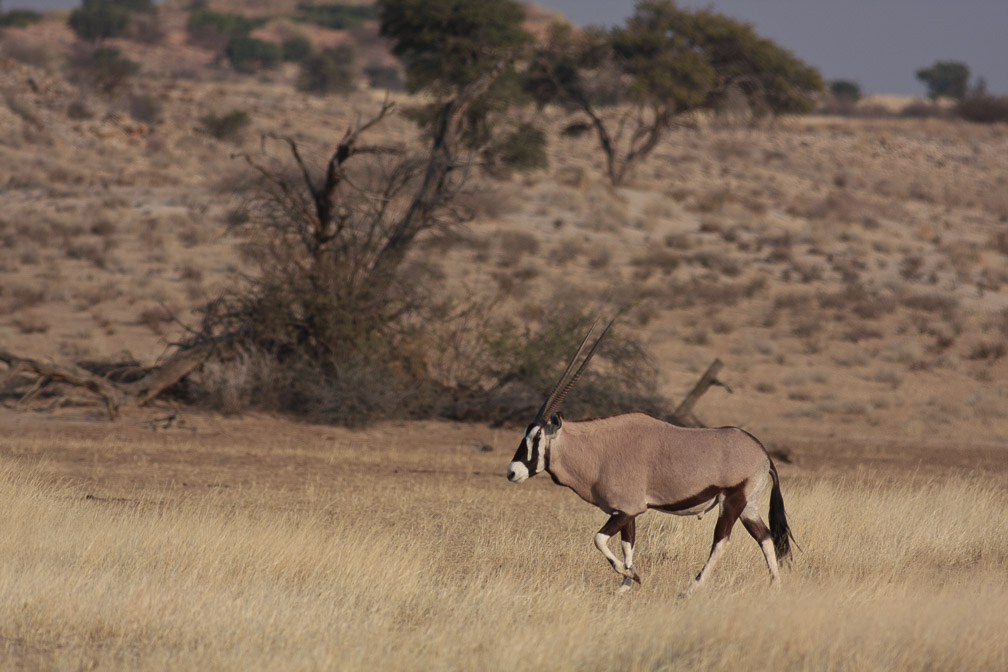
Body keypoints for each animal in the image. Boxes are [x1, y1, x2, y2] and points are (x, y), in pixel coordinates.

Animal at [504, 320, 794, 592]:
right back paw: (775, 587)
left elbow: (599, 539)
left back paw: (691, 589)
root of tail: (762, 452)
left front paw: (630, 576)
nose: (512, 471)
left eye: (537, 437)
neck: (598, 450)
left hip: (732, 501)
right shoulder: (625, 512)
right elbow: (627, 544)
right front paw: (625, 585)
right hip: (749, 506)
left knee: (721, 542)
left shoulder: (628, 508)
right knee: (765, 537)